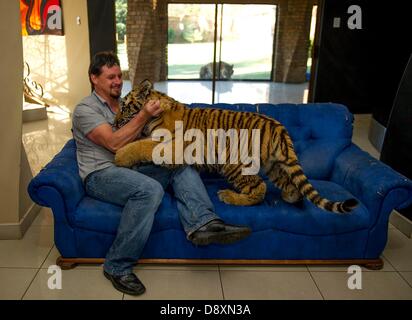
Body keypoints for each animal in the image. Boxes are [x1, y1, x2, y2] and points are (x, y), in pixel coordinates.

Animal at [112, 79, 358, 215]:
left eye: (124, 107)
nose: (114, 124)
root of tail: (277, 125)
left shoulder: (172, 145)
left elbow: (140, 145)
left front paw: (120, 157)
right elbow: (140, 142)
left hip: (233, 163)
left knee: (259, 188)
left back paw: (230, 197)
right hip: (273, 165)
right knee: (288, 184)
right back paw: (290, 197)